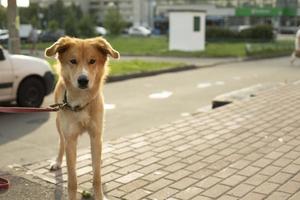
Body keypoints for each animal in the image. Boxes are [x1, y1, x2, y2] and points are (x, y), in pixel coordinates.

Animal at [44, 36, 119, 200]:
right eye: (73, 61)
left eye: (92, 61)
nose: (83, 80)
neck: (81, 103)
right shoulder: (71, 138)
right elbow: (72, 180)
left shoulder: (96, 135)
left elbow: (97, 176)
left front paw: (99, 195)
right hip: (59, 125)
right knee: (61, 142)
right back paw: (58, 162)